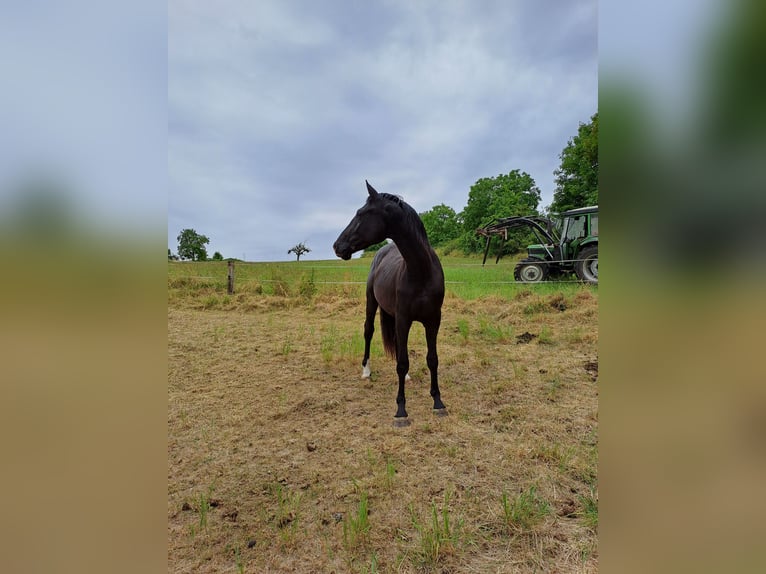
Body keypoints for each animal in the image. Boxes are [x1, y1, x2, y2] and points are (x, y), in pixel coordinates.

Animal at [333, 181, 447, 426]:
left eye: (361, 213)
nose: (337, 246)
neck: (421, 271)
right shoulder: (404, 319)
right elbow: (402, 361)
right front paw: (401, 410)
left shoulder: (433, 320)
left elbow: (432, 359)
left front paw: (438, 402)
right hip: (372, 303)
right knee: (368, 331)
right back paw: (366, 371)